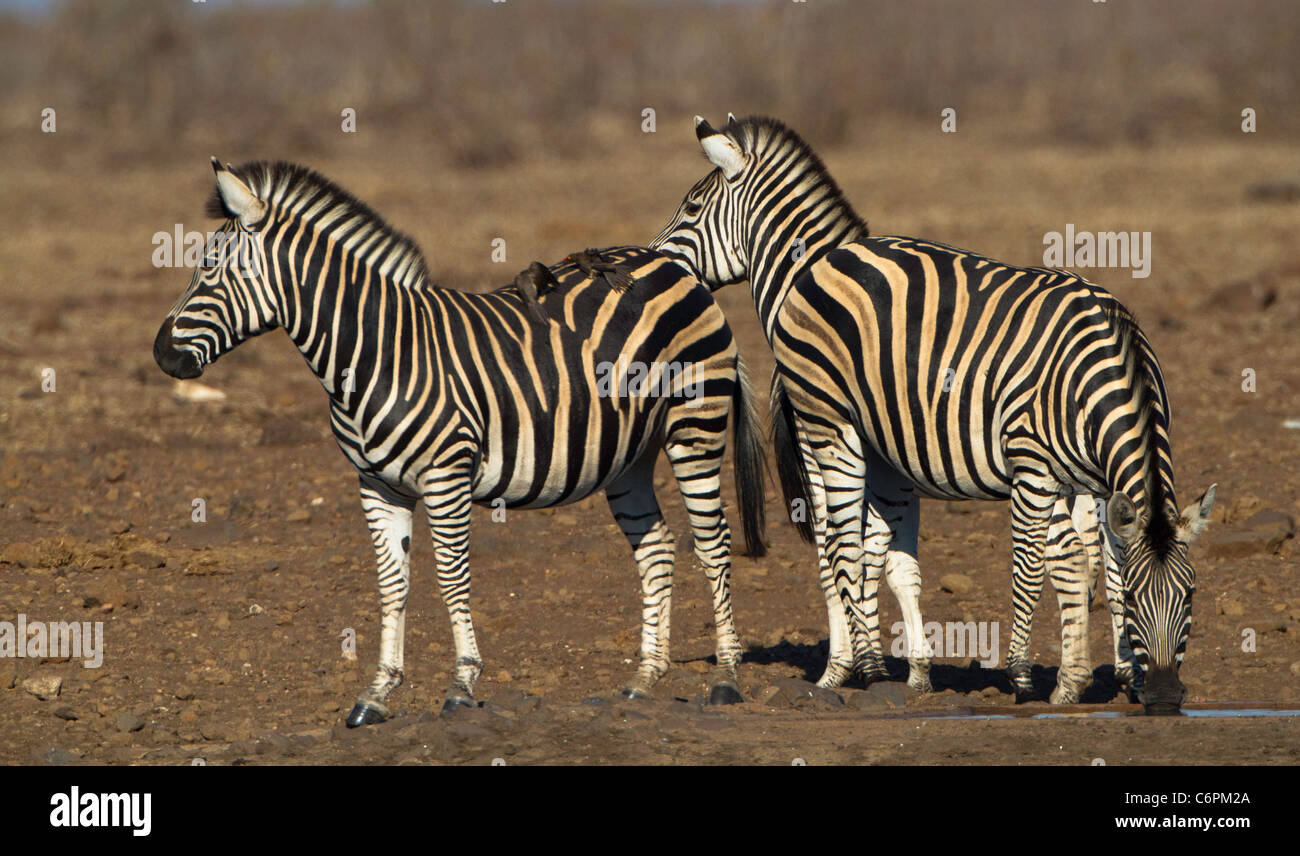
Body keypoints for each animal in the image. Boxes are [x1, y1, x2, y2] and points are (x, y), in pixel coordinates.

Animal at [153, 156, 764, 723]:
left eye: (209, 269)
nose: (160, 354)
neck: (376, 353)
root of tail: (671, 263)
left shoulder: (446, 474)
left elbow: (450, 578)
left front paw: (462, 686)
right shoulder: (377, 485)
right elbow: (392, 584)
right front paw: (377, 694)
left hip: (695, 425)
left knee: (712, 544)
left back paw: (726, 679)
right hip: (628, 454)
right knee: (656, 547)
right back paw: (643, 680)